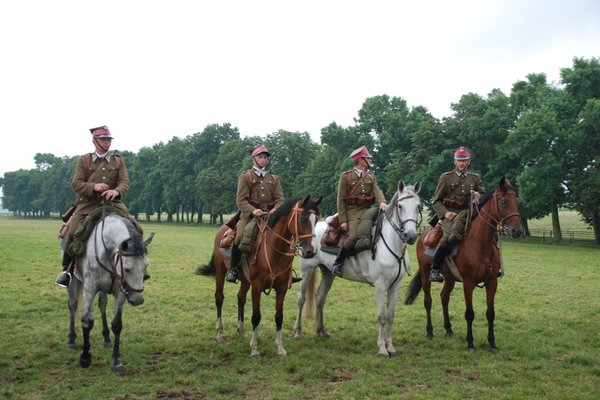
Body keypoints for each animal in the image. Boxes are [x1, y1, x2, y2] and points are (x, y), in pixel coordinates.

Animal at [65, 212, 155, 372]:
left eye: (145, 266)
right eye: (127, 269)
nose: (137, 299)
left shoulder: (120, 292)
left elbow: (117, 324)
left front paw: (116, 360)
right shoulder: (89, 289)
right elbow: (87, 322)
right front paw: (85, 358)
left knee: (102, 304)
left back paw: (106, 338)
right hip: (73, 279)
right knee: (73, 305)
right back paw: (71, 339)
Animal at [198, 197, 322, 356]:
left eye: (316, 220)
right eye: (303, 219)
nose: (311, 251)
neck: (274, 251)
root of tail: (222, 230)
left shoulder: (281, 287)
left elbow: (279, 316)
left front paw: (280, 347)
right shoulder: (256, 286)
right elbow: (256, 316)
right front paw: (255, 349)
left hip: (245, 280)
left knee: (241, 298)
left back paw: (241, 330)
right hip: (220, 272)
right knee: (219, 298)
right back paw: (220, 333)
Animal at [292, 181, 420, 356]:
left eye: (418, 206)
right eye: (400, 206)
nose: (411, 236)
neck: (390, 242)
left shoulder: (396, 285)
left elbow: (390, 316)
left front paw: (391, 347)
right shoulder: (380, 285)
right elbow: (382, 316)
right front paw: (382, 348)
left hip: (328, 273)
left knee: (320, 297)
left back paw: (322, 331)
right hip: (307, 270)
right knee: (301, 299)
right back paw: (298, 332)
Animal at [406, 177, 524, 352]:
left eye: (517, 201)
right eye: (504, 202)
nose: (517, 231)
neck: (480, 244)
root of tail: (423, 235)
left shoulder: (492, 282)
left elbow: (490, 313)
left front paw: (492, 343)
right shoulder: (468, 283)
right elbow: (469, 313)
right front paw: (470, 343)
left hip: (449, 278)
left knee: (444, 298)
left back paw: (448, 329)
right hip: (425, 273)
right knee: (428, 301)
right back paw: (430, 332)